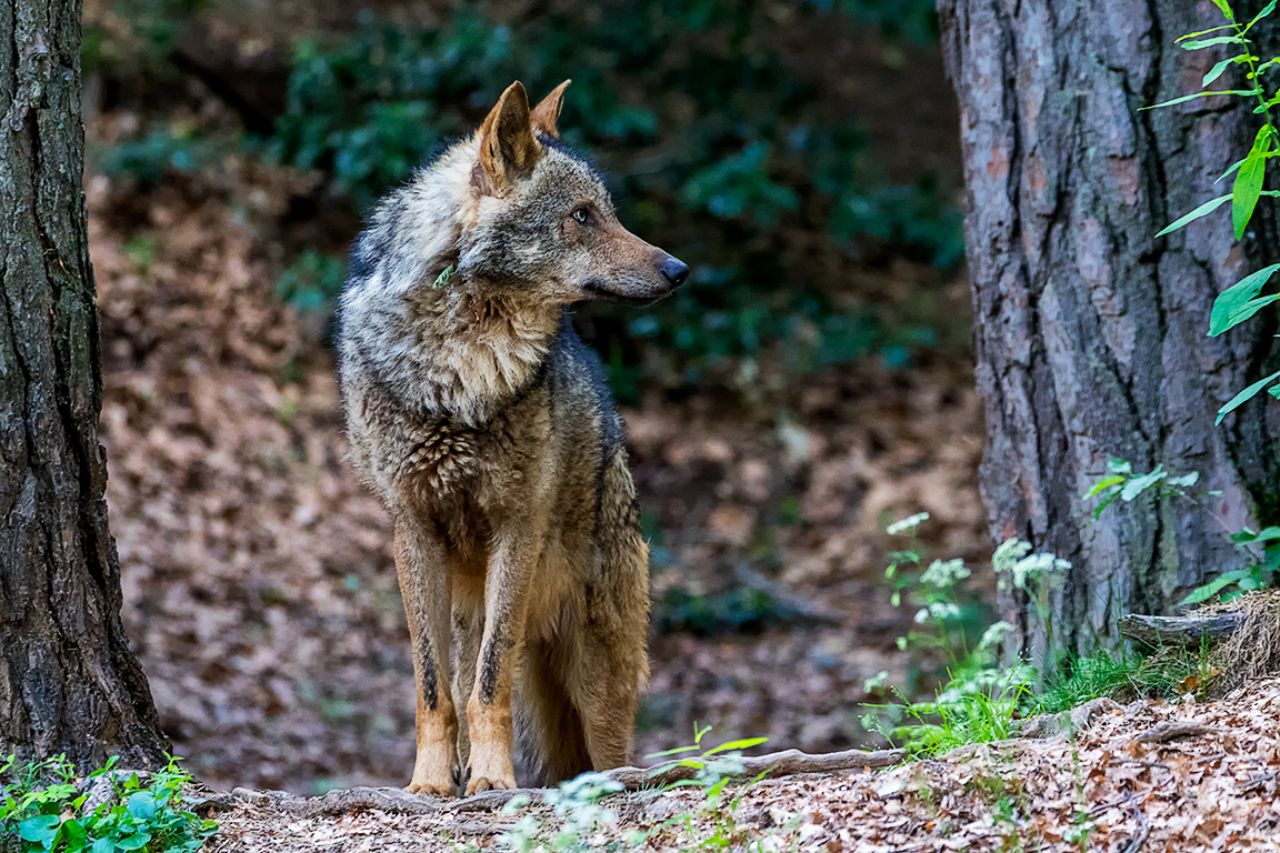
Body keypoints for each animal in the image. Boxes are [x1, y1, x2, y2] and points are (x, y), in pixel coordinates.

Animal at [337, 79, 688, 795]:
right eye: (582, 216)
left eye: (608, 212)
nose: (680, 268)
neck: (458, 362)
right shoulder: (412, 528)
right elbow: (435, 689)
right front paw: (431, 783)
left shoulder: (515, 524)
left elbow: (488, 683)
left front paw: (495, 780)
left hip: (597, 669)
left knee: (610, 753)